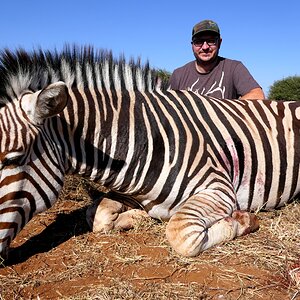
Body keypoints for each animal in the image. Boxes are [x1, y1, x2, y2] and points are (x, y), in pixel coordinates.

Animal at [0, 45, 298, 260]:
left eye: (13, 159)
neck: (147, 142)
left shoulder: (219, 189)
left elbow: (180, 233)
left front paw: (245, 220)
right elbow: (98, 216)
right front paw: (140, 216)